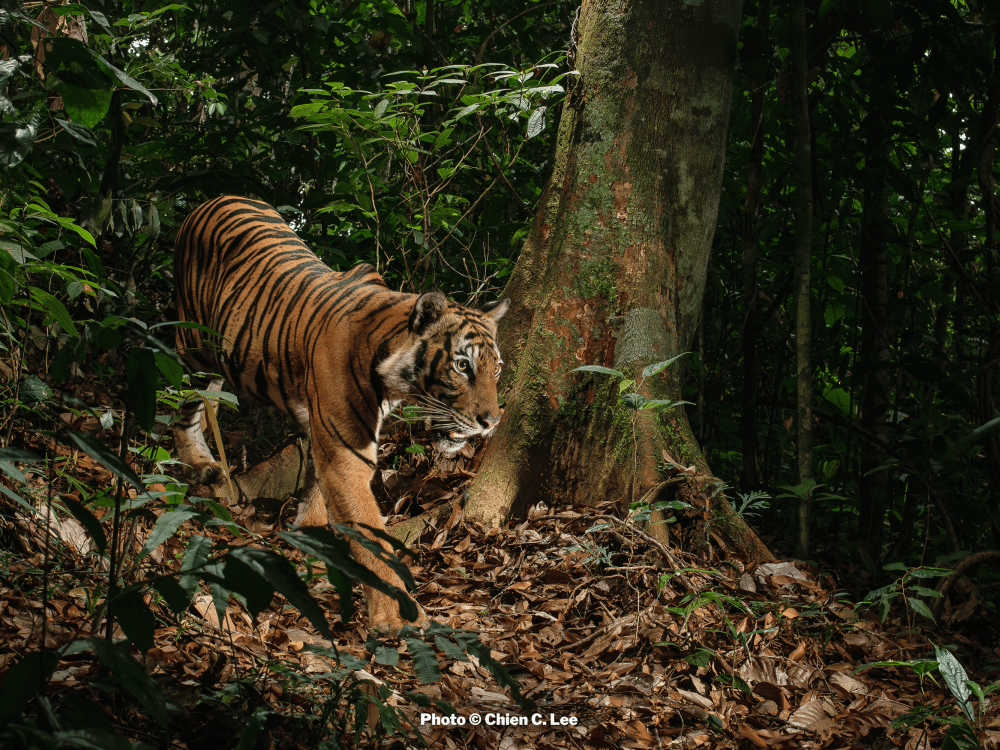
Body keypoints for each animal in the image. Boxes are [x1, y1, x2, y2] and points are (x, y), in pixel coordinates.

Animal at [172, 195, 508, 634]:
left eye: (495, 368)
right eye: (462, 366)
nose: (492, 421)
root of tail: (215, 198)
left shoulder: (323, 430)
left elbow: (317, 485)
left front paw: (311, 537)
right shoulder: (346, 453)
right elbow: (372, 537)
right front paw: (396, 615)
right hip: (193, 344)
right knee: (181, 398)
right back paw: (197, 463)